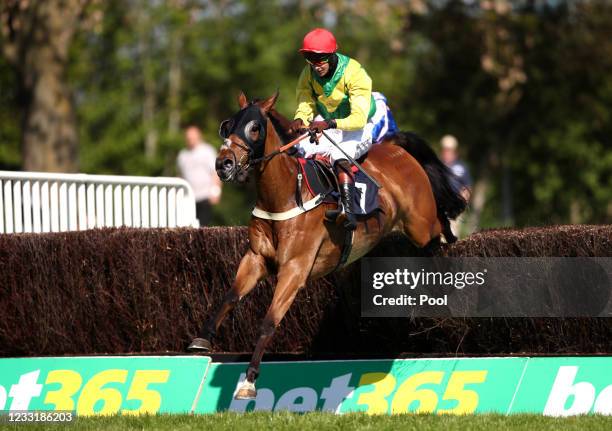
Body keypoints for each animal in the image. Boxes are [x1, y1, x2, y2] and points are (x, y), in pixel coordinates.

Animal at [186, 92, 464, 402]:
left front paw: (248, 381)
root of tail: (396, 149)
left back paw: (450, 239)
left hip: (419, 224)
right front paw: (201, 339)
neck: (283, 196)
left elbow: (269, 321)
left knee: (437, 226)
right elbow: (230, 296)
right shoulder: (255, 259)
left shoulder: (294, 269)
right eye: (227, 125)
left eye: (254, 127)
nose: (223, 164)